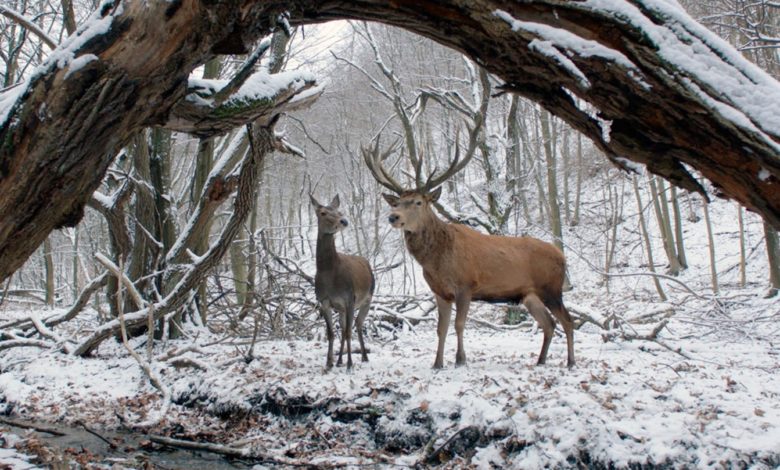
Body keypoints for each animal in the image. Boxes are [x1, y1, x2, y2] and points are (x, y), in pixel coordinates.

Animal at [308, 193, 374, 370]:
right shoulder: (324, 301)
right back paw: (339, 361)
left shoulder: (350, 298)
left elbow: (348, 332)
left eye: (339, 211)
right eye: (323, 212)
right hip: (342, 308)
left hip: (368, 298)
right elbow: (331, 333)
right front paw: (329, 363)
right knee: (345, 328)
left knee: (357, 324)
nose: (344, 221)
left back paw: (364, 356)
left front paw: (350, 363)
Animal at [362, 141, 576, 370]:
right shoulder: (439, 292)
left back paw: (570, 362)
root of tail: (562, 256)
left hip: (551, 289)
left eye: (418, 202)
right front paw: (437, 363)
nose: (393, 217)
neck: (436, 262)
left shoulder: (466, 286)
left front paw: (460, 360)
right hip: (530, 295)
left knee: (567, 321)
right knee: (549, 323)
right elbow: (441, 328)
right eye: (397, 203)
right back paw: (541, 360)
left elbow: (459, 324)